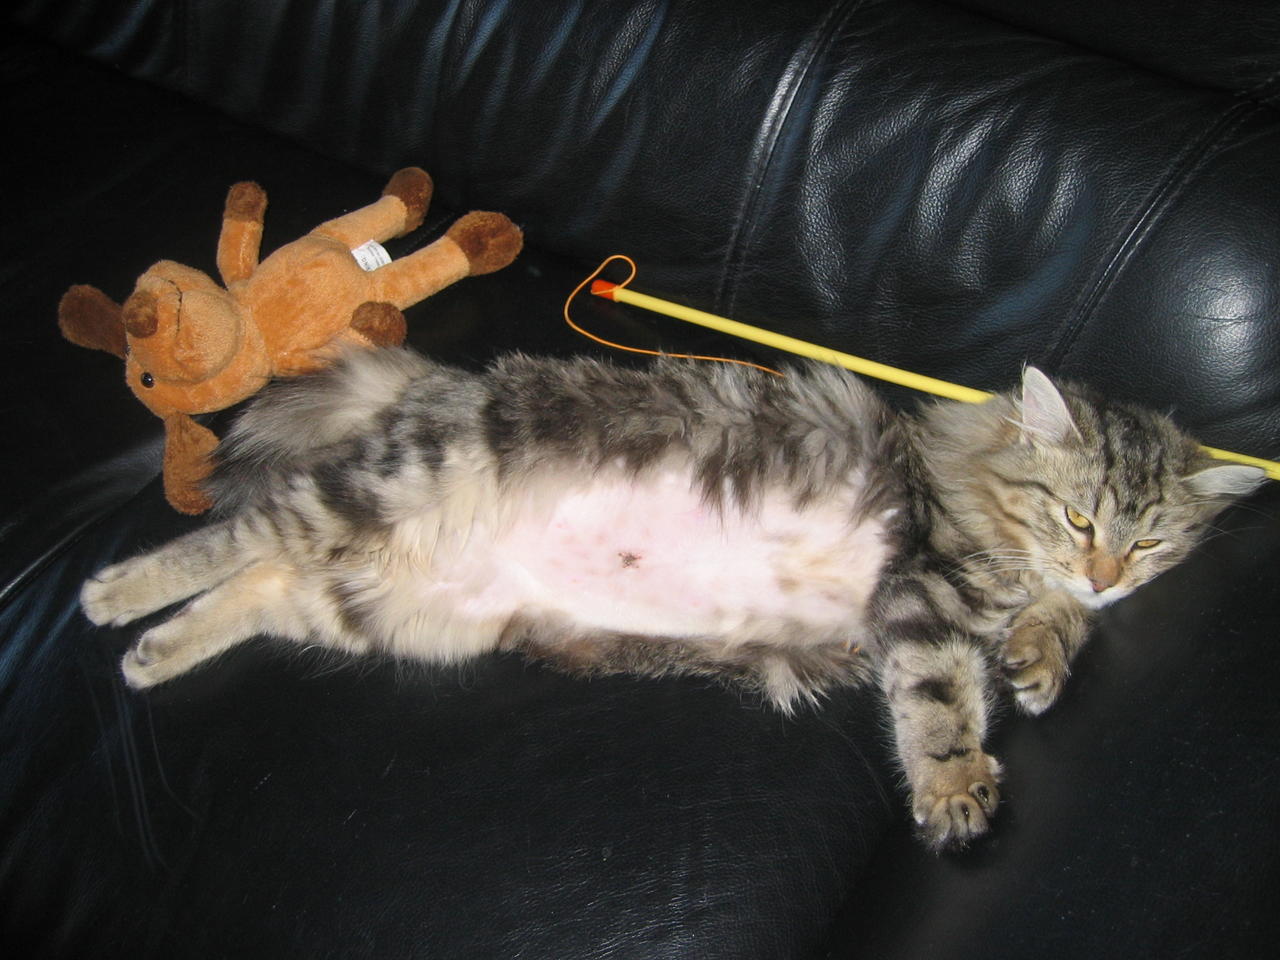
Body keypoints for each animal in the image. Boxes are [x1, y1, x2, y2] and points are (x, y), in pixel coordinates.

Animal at [77, 345, 1259, 849]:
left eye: (1147, 542)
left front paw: (1043, 653)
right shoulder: (921, 594)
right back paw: (110, 594)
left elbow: (1037, 640)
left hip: (403, 611)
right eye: (1079, 519)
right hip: (384, 491)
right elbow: (935, 704)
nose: (1104, 571)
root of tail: (440, 383)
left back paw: (149, 653)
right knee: (234, 535)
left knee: (263, 585)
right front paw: (958, 786)